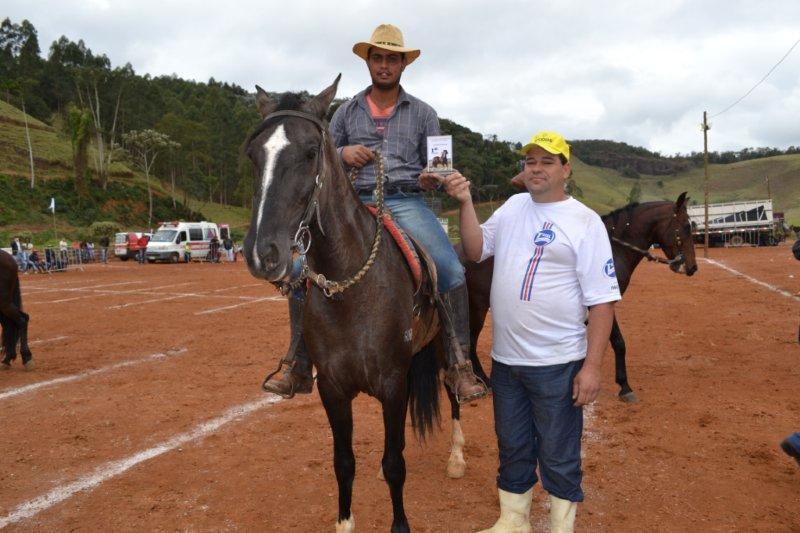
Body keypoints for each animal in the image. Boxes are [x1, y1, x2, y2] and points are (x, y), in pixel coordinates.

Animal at [460, 193, 696, 402]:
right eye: (686, 226)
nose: (692, 267)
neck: (613, 248)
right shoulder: (601, 302)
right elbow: (618, 342)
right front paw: (624, 386)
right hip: (478, 307)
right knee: (471, 341)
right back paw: (485, 381)